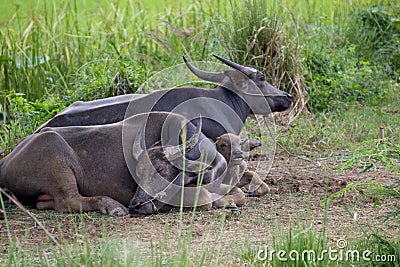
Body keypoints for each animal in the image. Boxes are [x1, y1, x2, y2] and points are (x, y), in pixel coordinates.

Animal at [0, 112, 227, 217]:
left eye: (160, 170)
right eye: (138, 173)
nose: (135, 204)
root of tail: (4, 162)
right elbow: (205, 198)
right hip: (56, 156)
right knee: (69, 201)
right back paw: (114, 207)